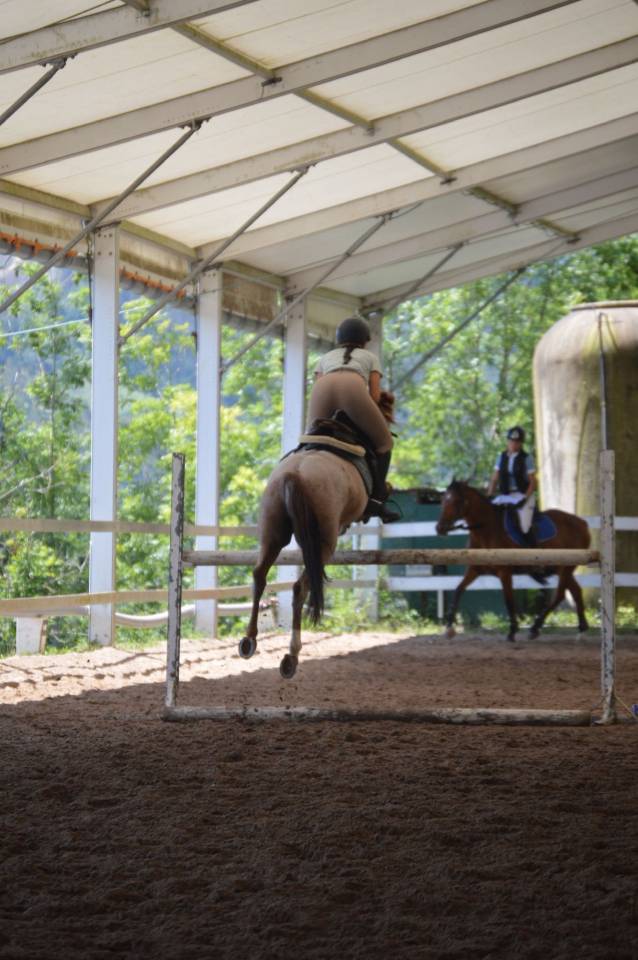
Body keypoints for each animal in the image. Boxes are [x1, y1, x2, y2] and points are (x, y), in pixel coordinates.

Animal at [435, 480, 590, 642]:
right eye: (443, 500)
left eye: (457, 501)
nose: (440, 528)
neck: (487, 530)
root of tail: (582, 523)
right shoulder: (474, 569)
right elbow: (458, 590)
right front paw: (449, 626)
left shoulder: (505, 572)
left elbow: (508, 600)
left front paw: (512, 631)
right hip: (562, 569)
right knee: (575, 591)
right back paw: (581, 628)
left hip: (565, 568)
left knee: (560, 595)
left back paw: (536, 627)